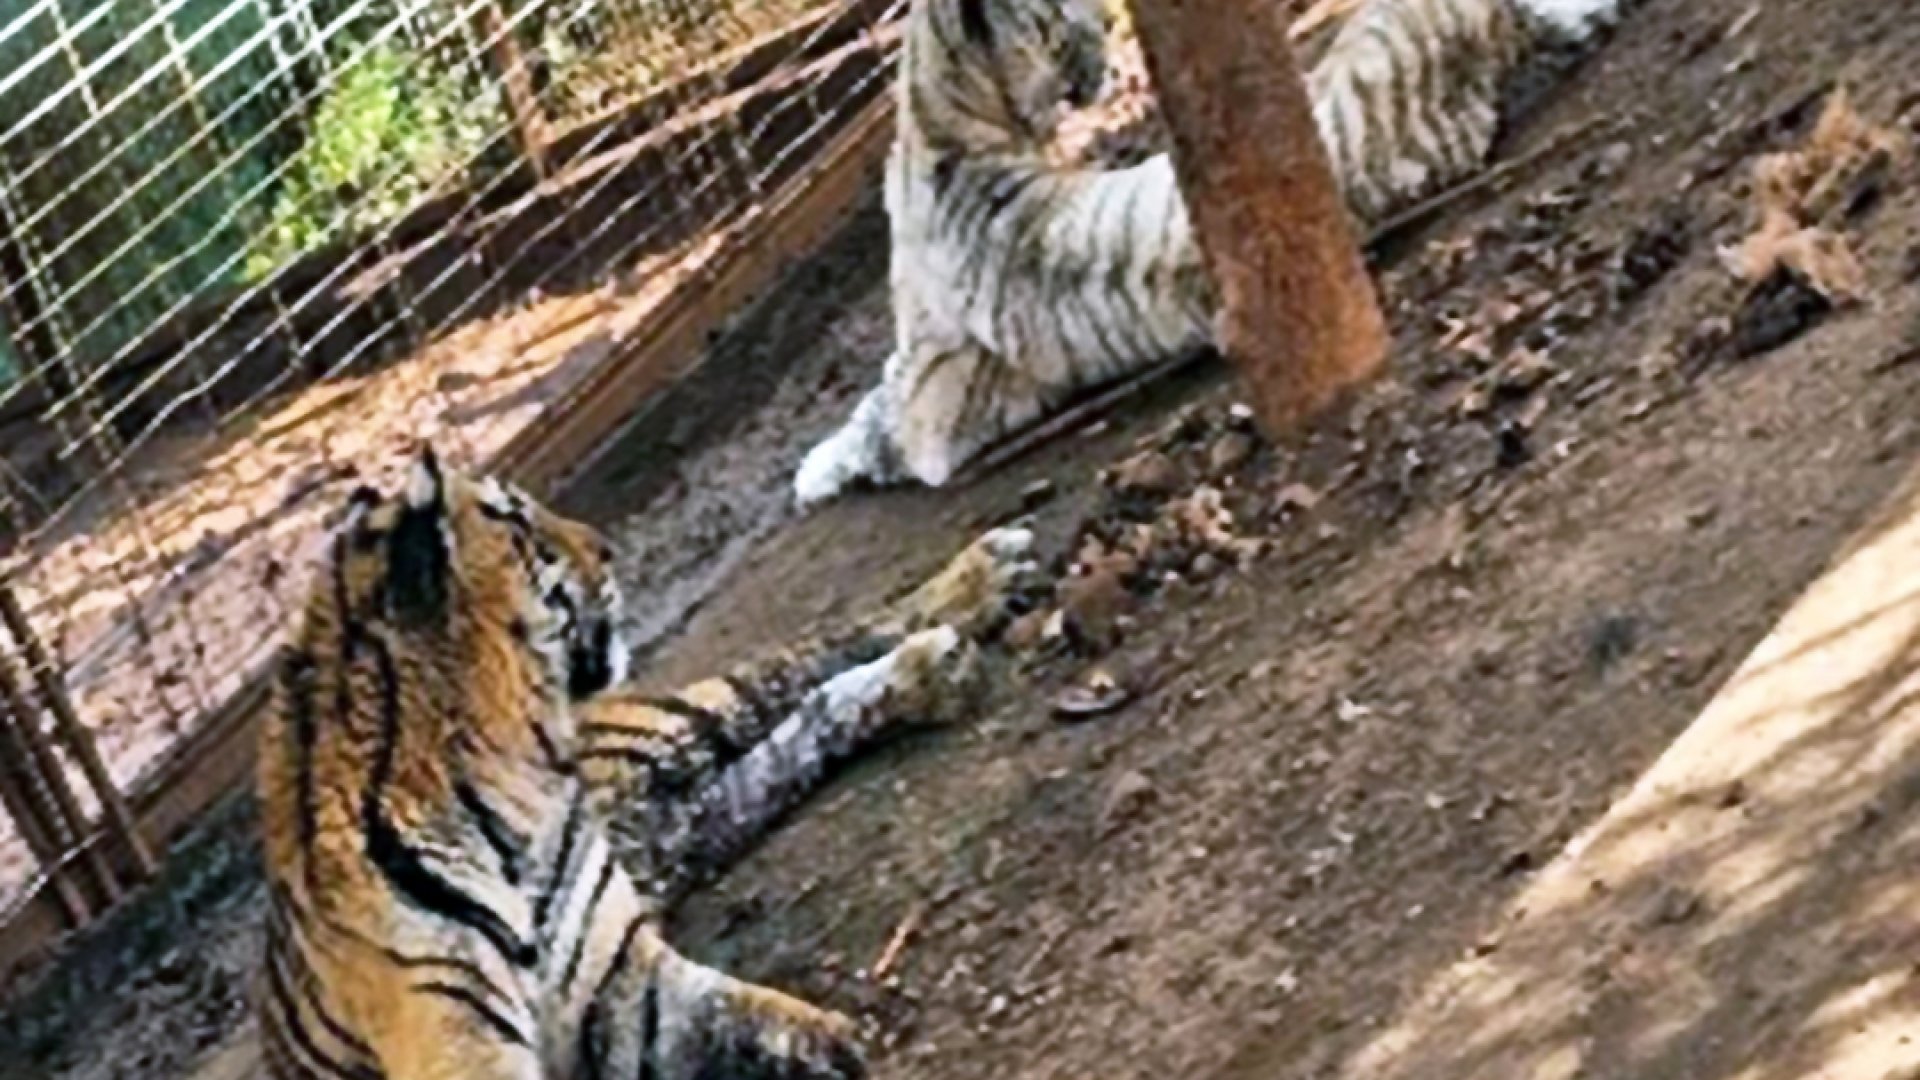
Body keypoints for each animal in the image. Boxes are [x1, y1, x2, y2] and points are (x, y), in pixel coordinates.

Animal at [257, 445, 1038, 1080]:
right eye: (522, 524)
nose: (606, 549)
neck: (510, 790)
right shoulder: (462, 1044)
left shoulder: (624, 983)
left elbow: (764, 1020)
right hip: (682, 816)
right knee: (785, 742)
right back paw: (934, 667)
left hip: (676, 727)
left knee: (802, 659)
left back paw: (981, 583)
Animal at [791, 0, 1628, 505]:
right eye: (1065, 20)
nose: (1105, 47)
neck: (945, 122)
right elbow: (873, 408)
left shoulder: (933, 404)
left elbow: (872, 408)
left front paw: (813, 471)